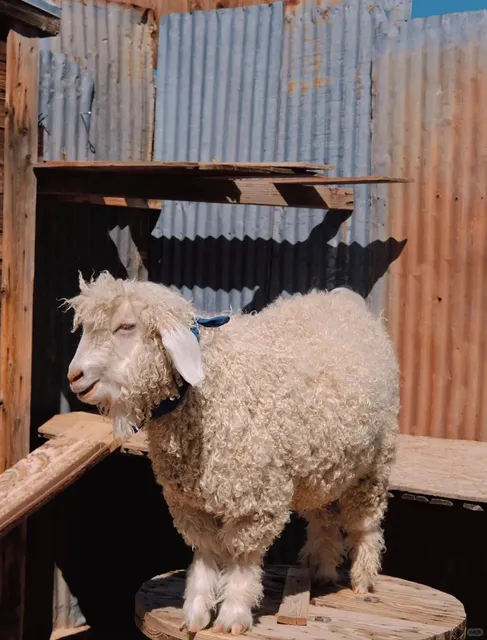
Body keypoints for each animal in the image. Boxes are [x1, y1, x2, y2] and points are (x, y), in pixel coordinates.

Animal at [66, 272, 400, 636]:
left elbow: (241, 560)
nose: (75, 376)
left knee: (367, 524)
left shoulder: (256, 501)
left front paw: (233, 616)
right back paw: (319, 569)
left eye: (126, 326)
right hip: (321, 468)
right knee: (323, 518)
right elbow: (205, 554)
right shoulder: (190, 502)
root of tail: (343, 299)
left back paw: (362, 579)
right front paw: (196, 612)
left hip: (375, 463)